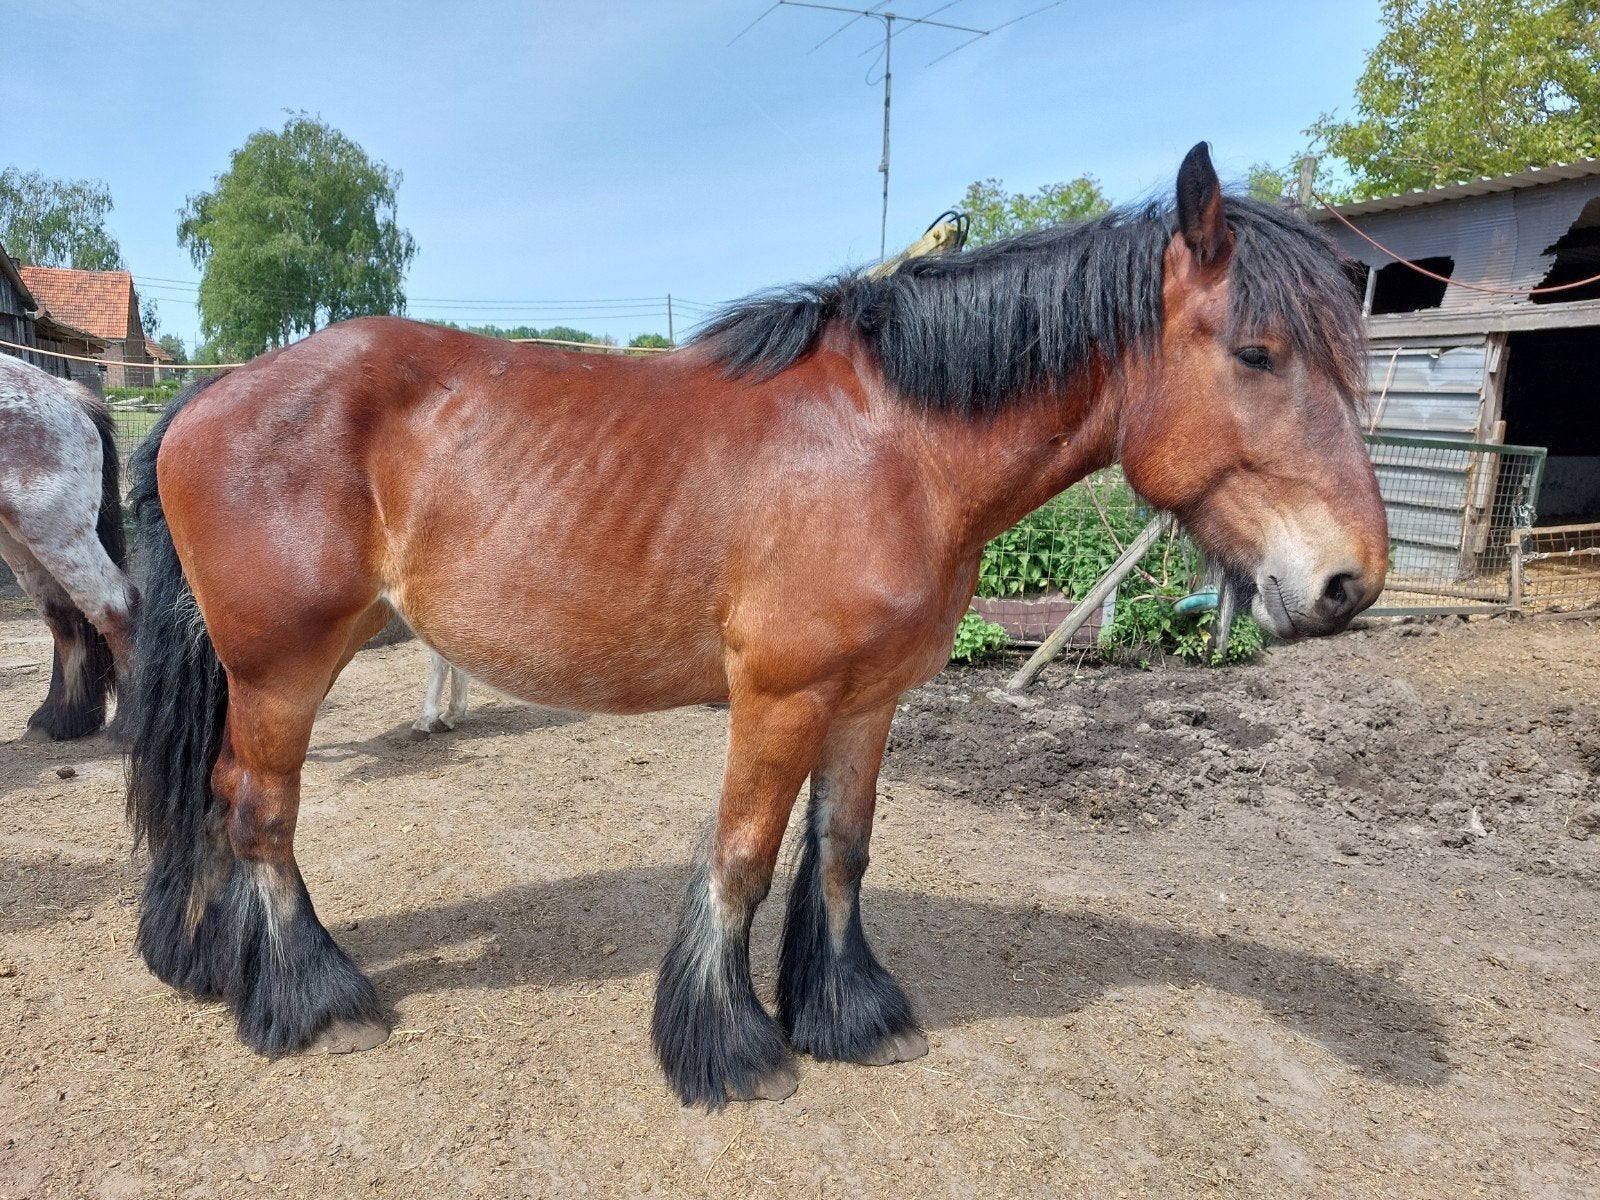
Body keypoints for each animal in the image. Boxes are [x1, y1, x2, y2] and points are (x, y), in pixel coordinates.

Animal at [0, 354, 137, 740]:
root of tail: (66, 393)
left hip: (51, 528)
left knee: (114, 605)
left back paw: (131, 725)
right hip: (20, 541)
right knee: (64, 613)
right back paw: (62, 718)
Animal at [123, 144, 1388, 1110]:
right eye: (1256, 352)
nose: (1348, 582)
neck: (895, 446)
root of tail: (212, 392)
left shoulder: (869, 702)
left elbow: (837, 854)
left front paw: (849, 1015)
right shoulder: (780, 697)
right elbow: (741, 857)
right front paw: (729, 1048)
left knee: (222, 797)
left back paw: (219, 968)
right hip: (285, 666)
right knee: (262, 813)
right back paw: (314, 999)